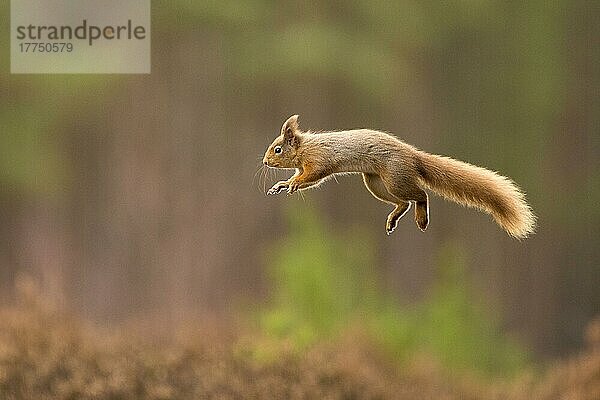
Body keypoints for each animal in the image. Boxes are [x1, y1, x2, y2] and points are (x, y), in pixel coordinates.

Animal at [264, 114, 536, 239]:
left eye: (277, 149)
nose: (265, 162)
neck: (304, 147)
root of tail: (413, 156)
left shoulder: (319, 160)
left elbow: (313, 176)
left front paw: (293, 183)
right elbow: (306, 179)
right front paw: (283, 184)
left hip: (395, 178)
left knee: (420, 194)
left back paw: (421, 218)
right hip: (375, 182)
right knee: (403, 202)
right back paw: (393, 218)